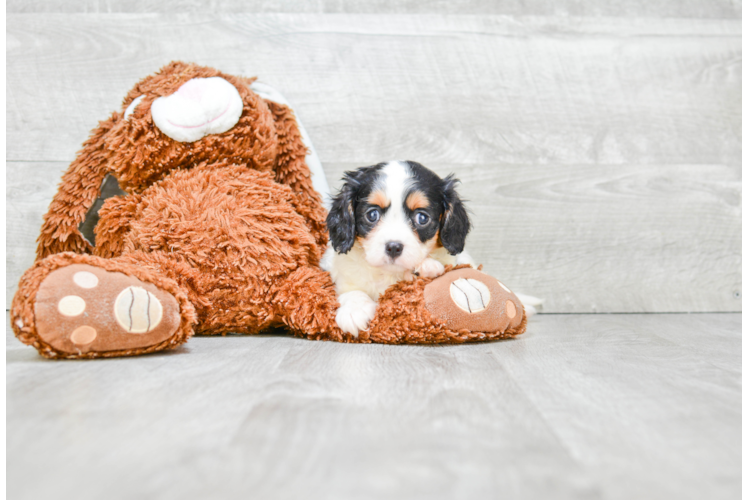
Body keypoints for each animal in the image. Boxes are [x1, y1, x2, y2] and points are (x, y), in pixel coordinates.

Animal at [322, 160, 474, 338]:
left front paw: (427, 266)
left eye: (422, 218)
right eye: (372, 215)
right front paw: (354, 310)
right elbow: (351, 290)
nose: (394, 247)